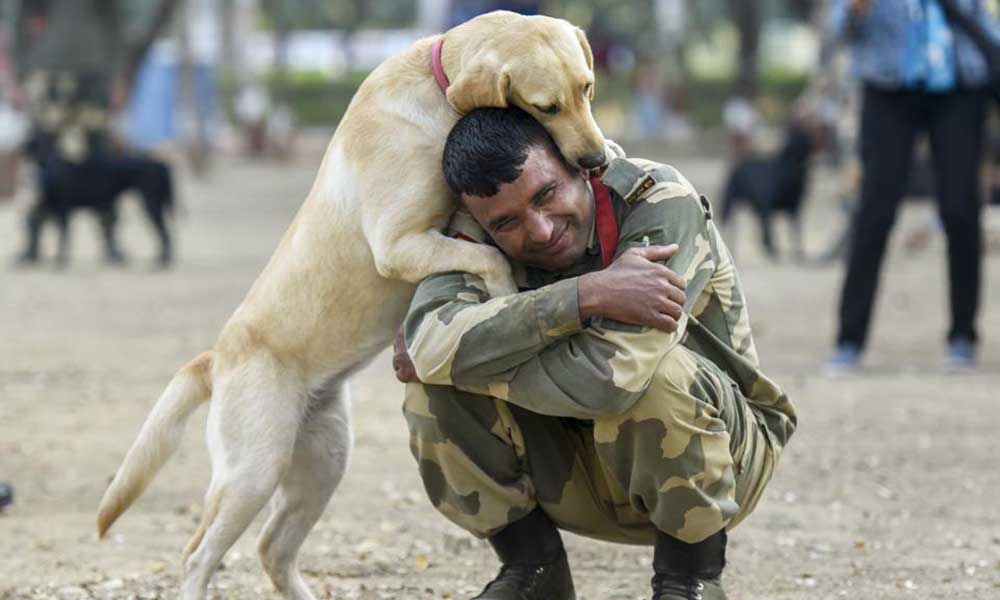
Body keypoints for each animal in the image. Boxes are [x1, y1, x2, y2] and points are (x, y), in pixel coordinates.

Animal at [97, 9, 604, 600]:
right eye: (546, 107)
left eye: (586, 89)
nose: (594, 160)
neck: (435, 88)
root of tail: (216, 358)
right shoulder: (398, 243)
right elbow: (491, 259)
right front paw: (505, 297)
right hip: (253, 471)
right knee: (198, 555)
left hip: (324, 460)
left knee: (273, 548)